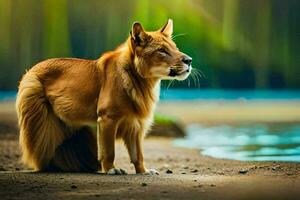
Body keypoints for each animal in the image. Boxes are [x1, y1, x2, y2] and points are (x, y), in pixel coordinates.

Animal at [15, 19, 192, 175]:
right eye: (162, 50)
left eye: (175, 48)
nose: (189, 60)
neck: (141, 80)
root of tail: (32, 69)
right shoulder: (108, 118)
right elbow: (109, 150)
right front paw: (111, 169)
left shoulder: (135, 124)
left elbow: (138, 154)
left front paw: (143, 171)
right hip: (38, 119)